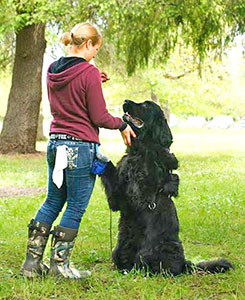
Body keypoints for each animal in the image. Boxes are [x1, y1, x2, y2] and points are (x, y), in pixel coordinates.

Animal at [100, 99, 233, 276]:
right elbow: (109, 171)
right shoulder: (118, 198)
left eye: (146, 105)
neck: (138, 152)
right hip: (120, 249)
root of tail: (185, 263)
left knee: (161, 267)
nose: (125, 101)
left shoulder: (142, 192)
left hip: (157, 250)